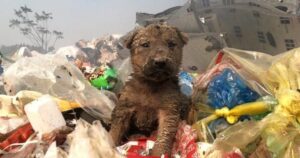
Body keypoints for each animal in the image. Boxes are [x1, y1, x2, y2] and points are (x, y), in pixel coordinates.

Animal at [110, 24, 190, 156]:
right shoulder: (125, 107)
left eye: (171, 44)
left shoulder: (168, 110)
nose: (160, 62)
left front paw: (159, 153)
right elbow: (115, 130)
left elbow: (164, 135)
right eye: (145, 44)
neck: (151, 84)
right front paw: (107, 142)